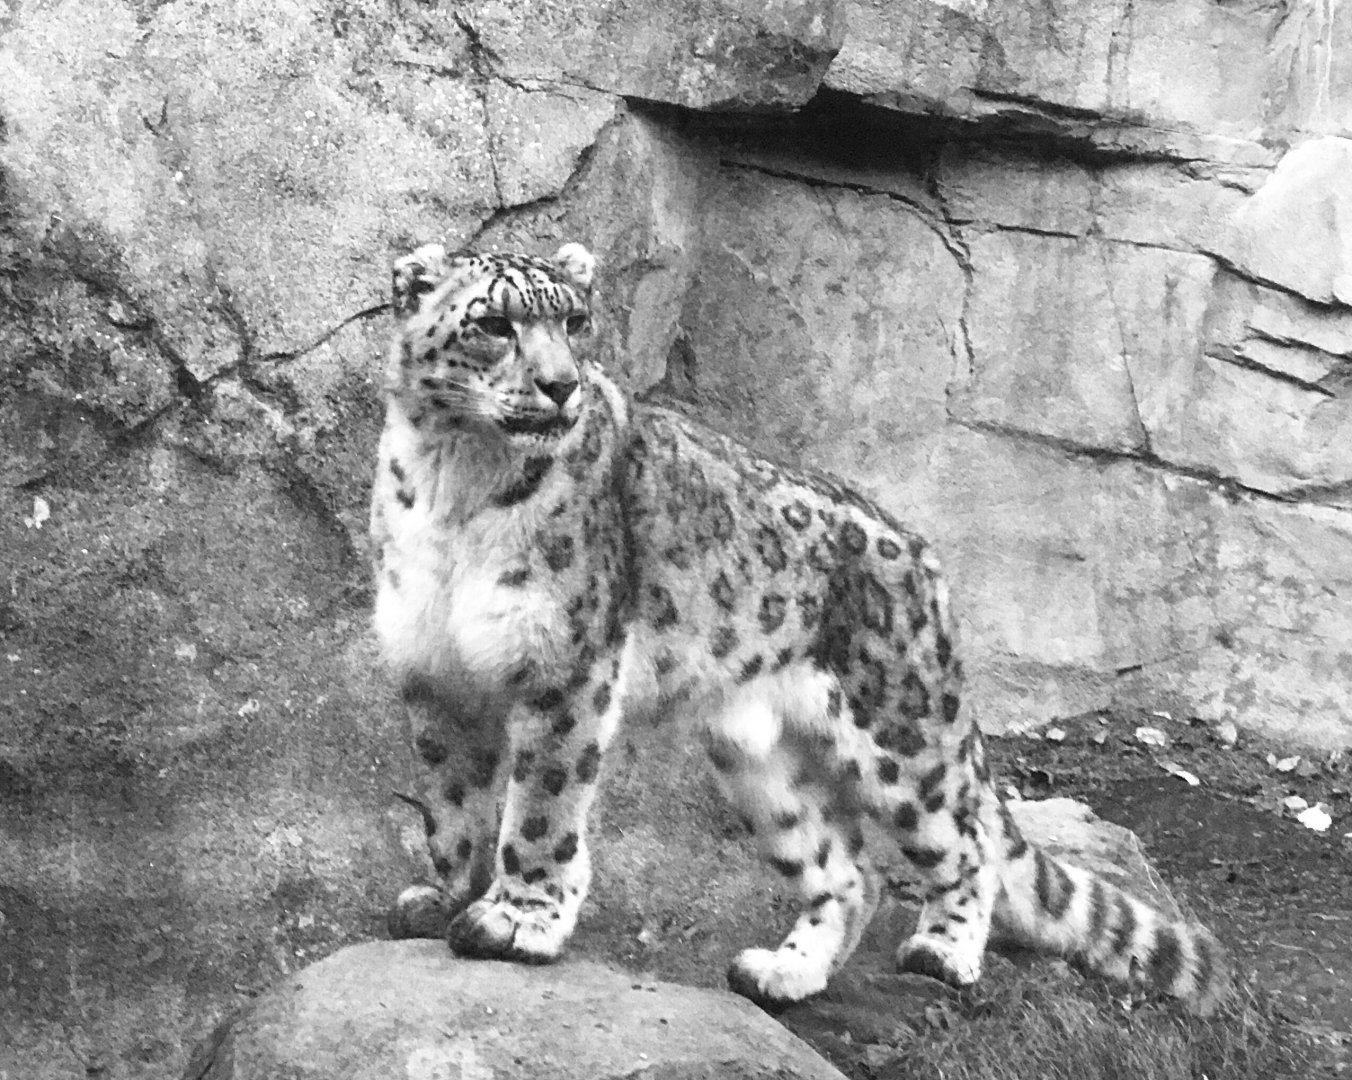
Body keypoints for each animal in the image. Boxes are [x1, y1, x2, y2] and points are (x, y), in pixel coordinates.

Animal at [369, 240, 1229, 1015]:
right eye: (493, 324)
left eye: (575, 321)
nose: (559, 385)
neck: (456, 481)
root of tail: (926, 559)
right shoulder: (434, 670)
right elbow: (452, 800)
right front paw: (446, 896)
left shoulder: (566, 667)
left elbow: (542, 805)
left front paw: (517, 921)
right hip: (760, 760)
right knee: (850, 873)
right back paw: (783, 972)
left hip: (902, 735)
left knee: (965, 839)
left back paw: (942, 950)